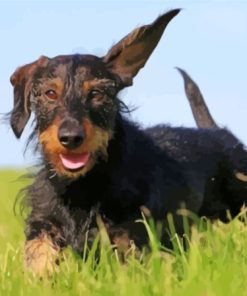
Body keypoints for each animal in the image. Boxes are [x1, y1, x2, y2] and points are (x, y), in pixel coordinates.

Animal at [8, 9, 247, 276]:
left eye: (96, 94)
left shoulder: (133, 234)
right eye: (50, 93)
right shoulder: (45, 221)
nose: (70, 137)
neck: (84, 184)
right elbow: (39, 250)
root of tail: (219, 133)